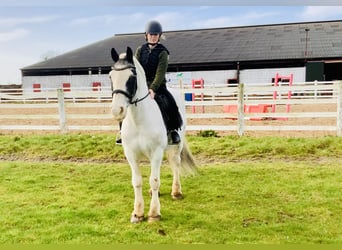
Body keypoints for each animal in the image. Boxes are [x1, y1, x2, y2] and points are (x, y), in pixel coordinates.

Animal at [108, 46, 196, 223]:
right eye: (110, 76)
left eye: (131, 77)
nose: (116, 111)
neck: (138, 120)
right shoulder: (131, 154)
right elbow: (137, 181)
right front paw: (137, 213)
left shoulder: (156, 152)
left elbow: (154, 180)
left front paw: (154, 213)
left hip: (176, 145)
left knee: (175, 163)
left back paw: (176, 192)